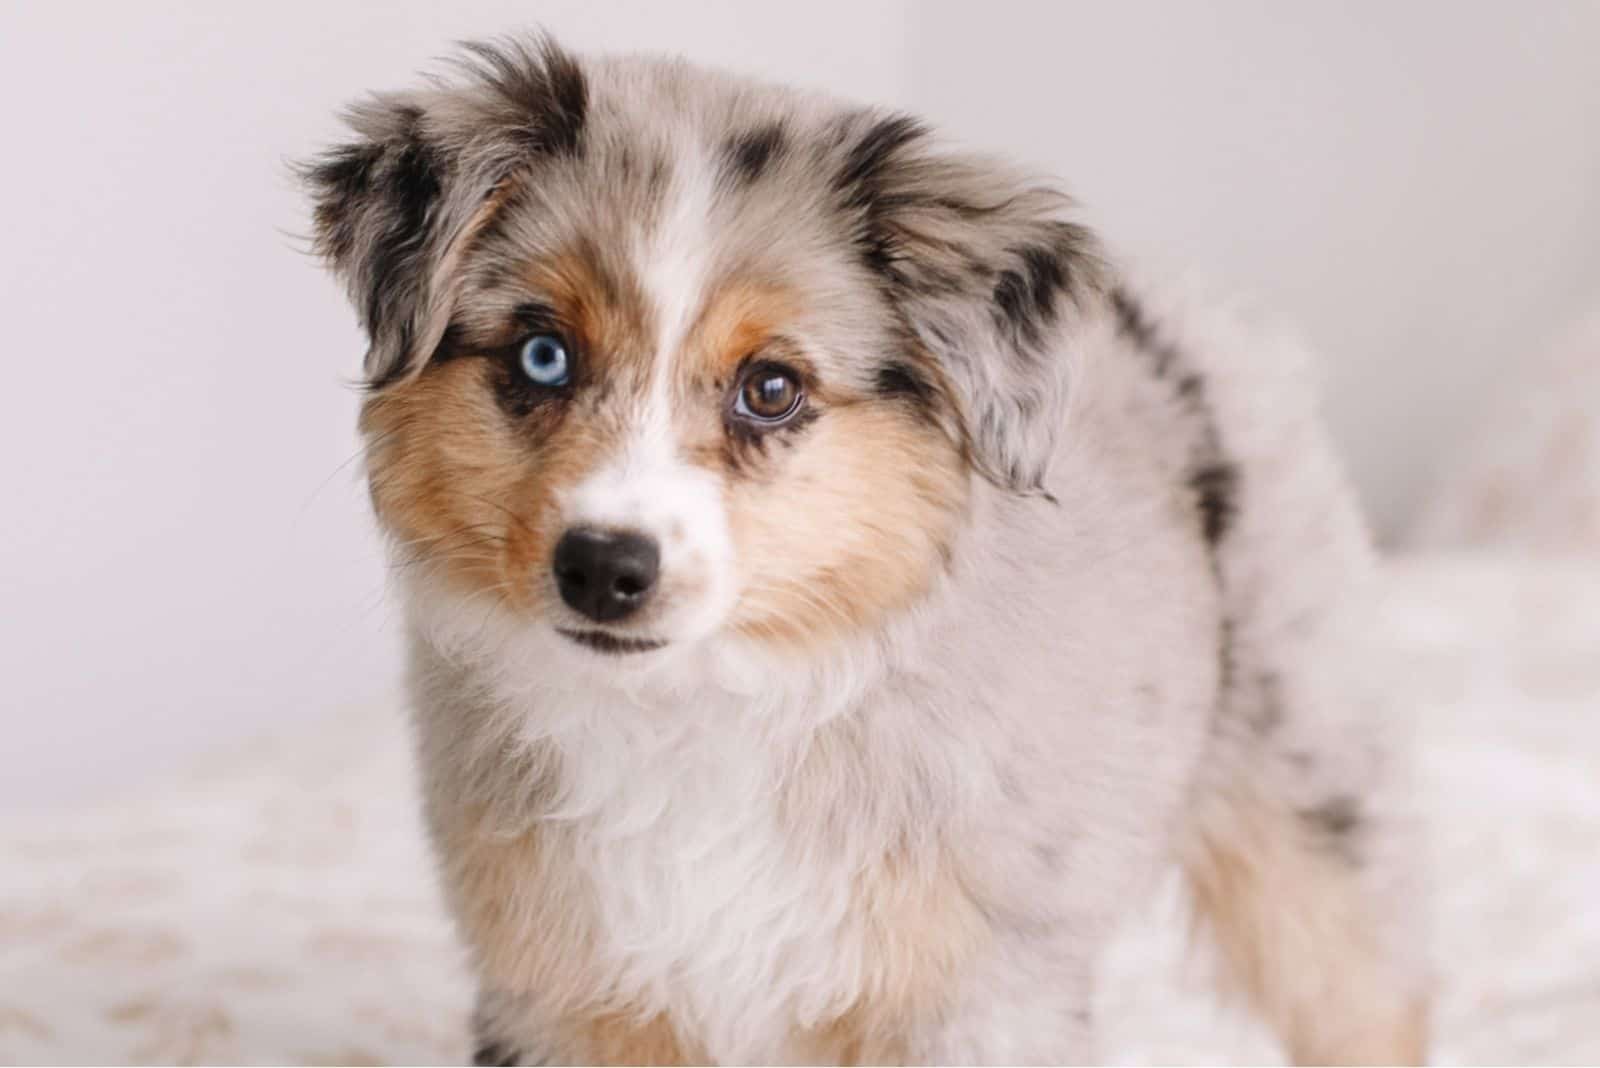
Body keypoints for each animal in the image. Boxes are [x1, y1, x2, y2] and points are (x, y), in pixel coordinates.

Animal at [305, 31, 1433, 1061]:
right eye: (544, 355)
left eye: (770, 388)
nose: (603, 569)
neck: (698, 711)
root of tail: (1167, 307)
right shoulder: (561, 996)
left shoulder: (972, 995)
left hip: (1309, 789)